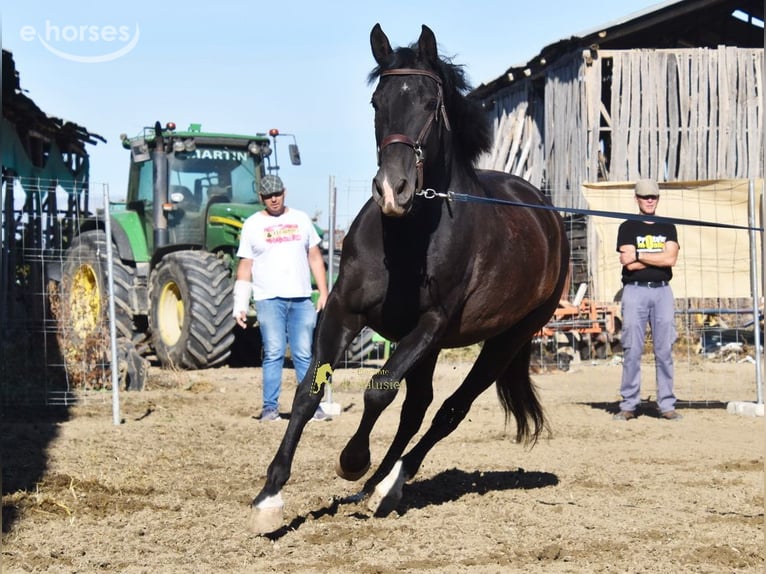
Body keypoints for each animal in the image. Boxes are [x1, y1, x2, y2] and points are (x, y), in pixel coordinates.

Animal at [249, 23, 570, 534]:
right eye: (376, 101)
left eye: (428, 101)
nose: (391, 190)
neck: (407, 237)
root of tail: (549, 216)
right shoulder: (343, 312)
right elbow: (308, 391)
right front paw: (269, 498)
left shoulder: (431, 324)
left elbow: (378, 390)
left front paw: (352, 460)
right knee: (418, 406)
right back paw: (374, 485)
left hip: (507, 340)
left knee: (448, 411)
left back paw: (387, 485)